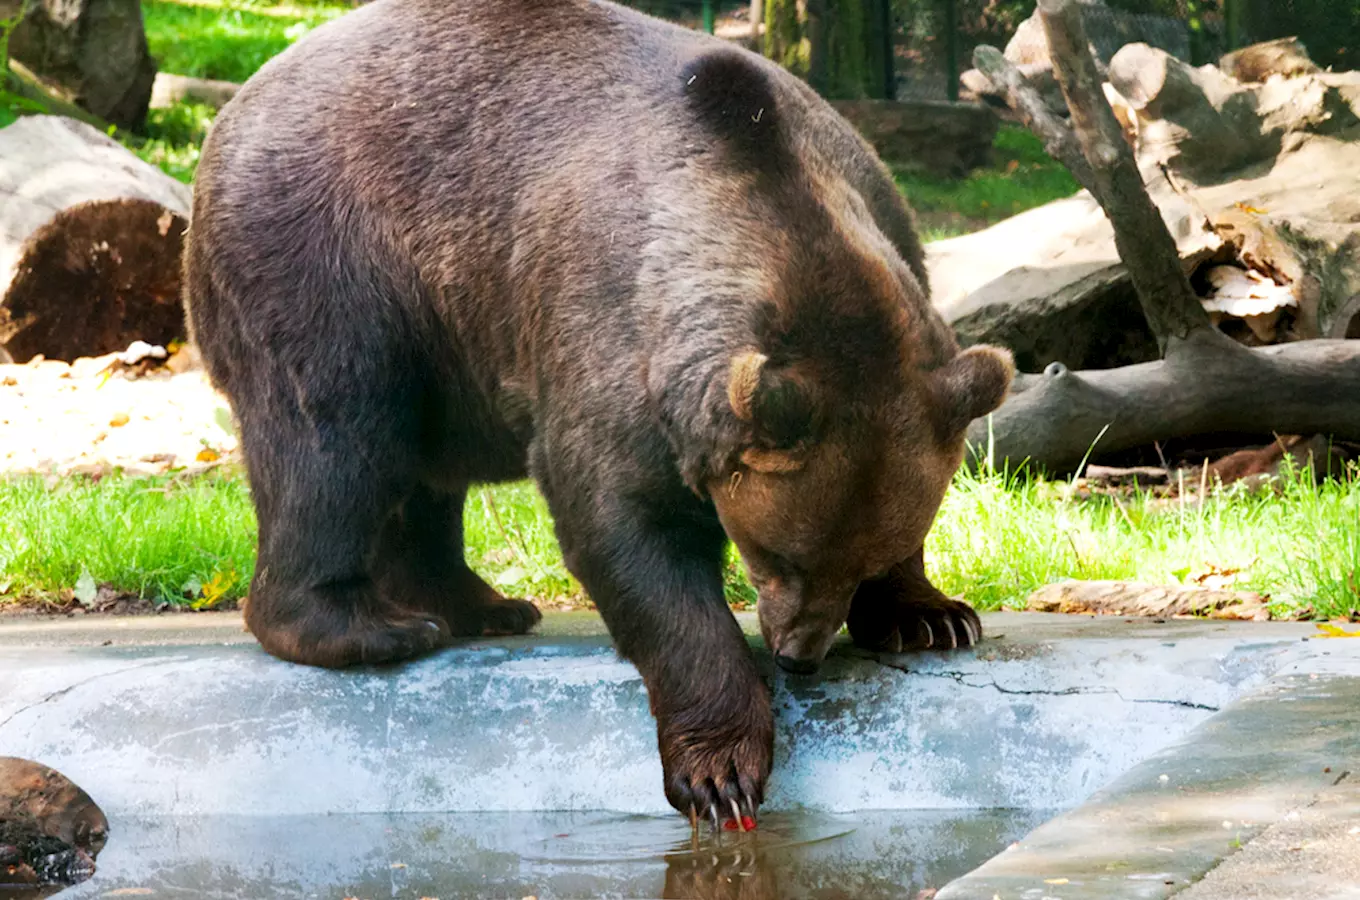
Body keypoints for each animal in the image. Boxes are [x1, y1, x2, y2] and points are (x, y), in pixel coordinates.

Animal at [180, 0, 1011, 832]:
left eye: (860, 559)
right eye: (777, 557)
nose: (797, 652)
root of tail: (238, 106)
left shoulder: (891, 243)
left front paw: (933, 617)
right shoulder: (613, 340)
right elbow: (627, 530)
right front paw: (720, 771)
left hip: (444, 340)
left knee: (419, 470)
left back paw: (481, 604)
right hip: (332, 255)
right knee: (335, 435)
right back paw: (370, 628)